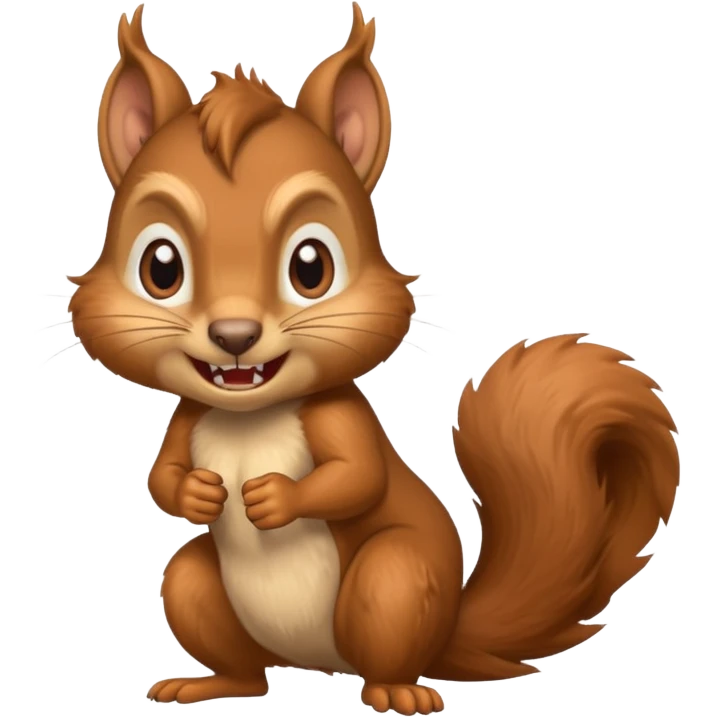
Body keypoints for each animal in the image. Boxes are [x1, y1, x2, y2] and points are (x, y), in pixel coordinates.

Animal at [68, 4, 681, 715]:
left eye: (312, 267)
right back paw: (212, 683)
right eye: (160, 267)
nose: (234, 335)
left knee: (386, 634)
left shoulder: (340, 415)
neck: (250, 414)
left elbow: (357, 477)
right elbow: (161, 475)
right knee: (238, 655)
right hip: (198, 589)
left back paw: (397, 691)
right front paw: (197, 493)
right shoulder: (190, 416)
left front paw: (275, 497)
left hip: (394, 583)